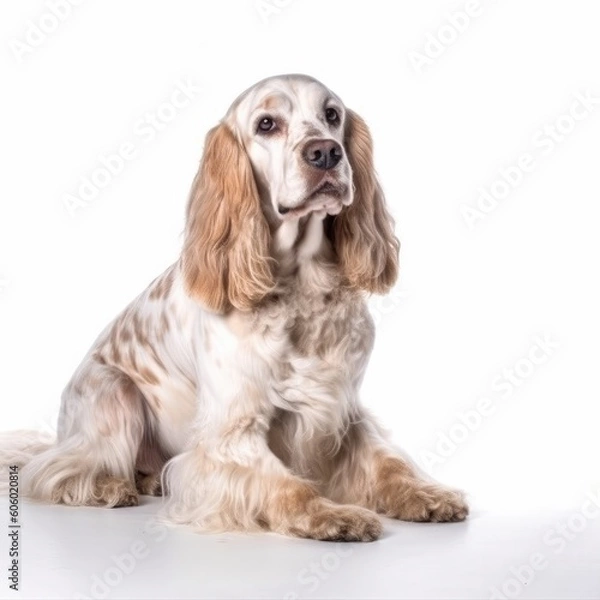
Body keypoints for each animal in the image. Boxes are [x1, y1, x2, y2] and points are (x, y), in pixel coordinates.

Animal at [0, 74, 468, 540]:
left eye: (332, 115)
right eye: (266, 124)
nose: (326, 152)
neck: (304, 284)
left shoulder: (343, 411)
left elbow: (389, 462)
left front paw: (427, 494)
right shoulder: (230, 433)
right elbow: (287, 486)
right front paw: (332, 515)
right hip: (115, 395)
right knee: (56, 469)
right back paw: (109, 486)